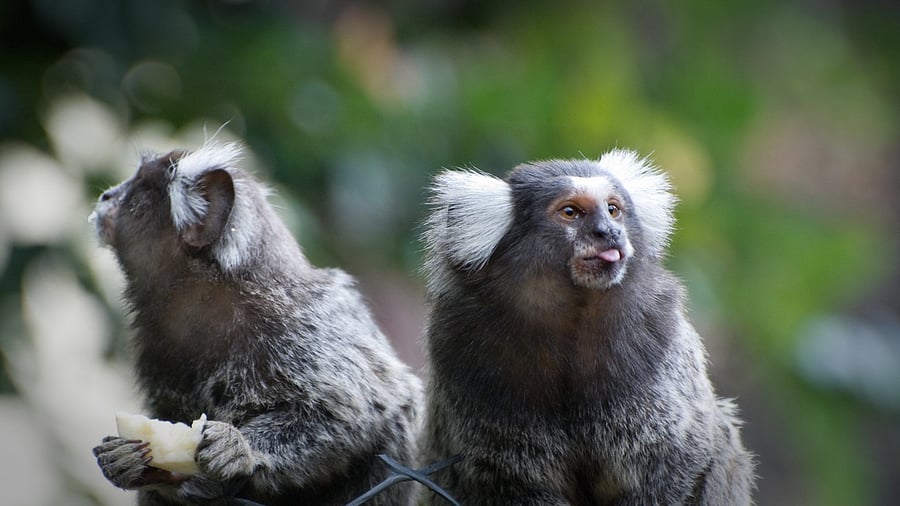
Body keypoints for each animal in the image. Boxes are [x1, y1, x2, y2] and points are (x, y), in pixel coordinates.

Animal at [89, 142, 423, 506]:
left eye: (137, 191)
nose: (106, 196)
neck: (208, 304)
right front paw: (131, 465)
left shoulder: (305, 331)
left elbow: (354, 413)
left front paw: (241, 448)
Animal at [420, 150, 755, 505]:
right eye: (570, 212)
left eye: (613, 209)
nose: (608, 232)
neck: (572, 319)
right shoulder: (461, 349)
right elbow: (508, 482)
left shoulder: (659, 339)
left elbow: (674, 462)